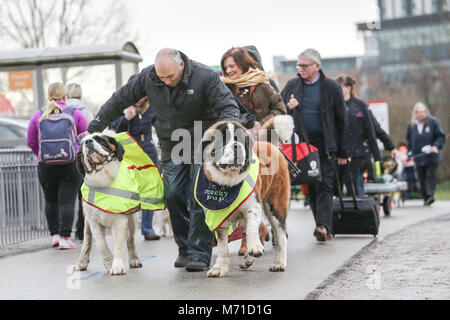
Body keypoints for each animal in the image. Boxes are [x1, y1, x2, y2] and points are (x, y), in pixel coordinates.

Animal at [73, 131, 142, 276]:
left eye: (100, 141)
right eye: (82, 145)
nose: (88, 142)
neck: (103, 178)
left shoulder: (120, 221)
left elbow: (119, 244)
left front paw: (117, 266)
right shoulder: (94, 221)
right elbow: (101, 244)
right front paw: (109, 263)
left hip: (133, 220)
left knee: (130, 240)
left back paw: (134, 259)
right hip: (86, 221)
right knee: (87, 242)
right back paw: (81, 262)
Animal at [200, 115, 292, 278]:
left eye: (241, 140)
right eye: (223, 140)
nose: (237, 146)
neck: (228, 182)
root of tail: (269, 144)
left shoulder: (254, 205)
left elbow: (252, 227)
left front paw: (255, 247)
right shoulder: (217, 216)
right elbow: (223, 244)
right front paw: (220, 268)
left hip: (275, 204)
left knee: (280, 233)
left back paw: (278, 263)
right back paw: (248, 259)